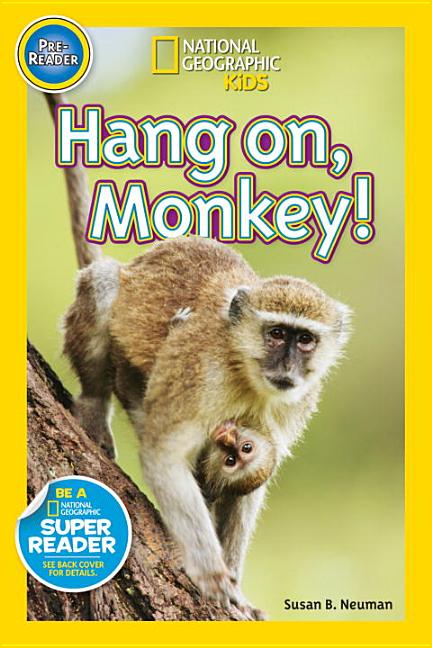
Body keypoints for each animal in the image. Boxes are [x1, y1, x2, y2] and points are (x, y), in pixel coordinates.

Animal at [46, 93, 352, 617]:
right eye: (277, 334)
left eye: (305, 340)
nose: (287, 366)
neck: (247, 373)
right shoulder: (199, 371)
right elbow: (166, 453)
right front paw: (210, 571)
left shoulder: (293, 405)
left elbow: (253, 484)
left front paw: (238, 586)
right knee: (103, 284)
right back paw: (93, 405)